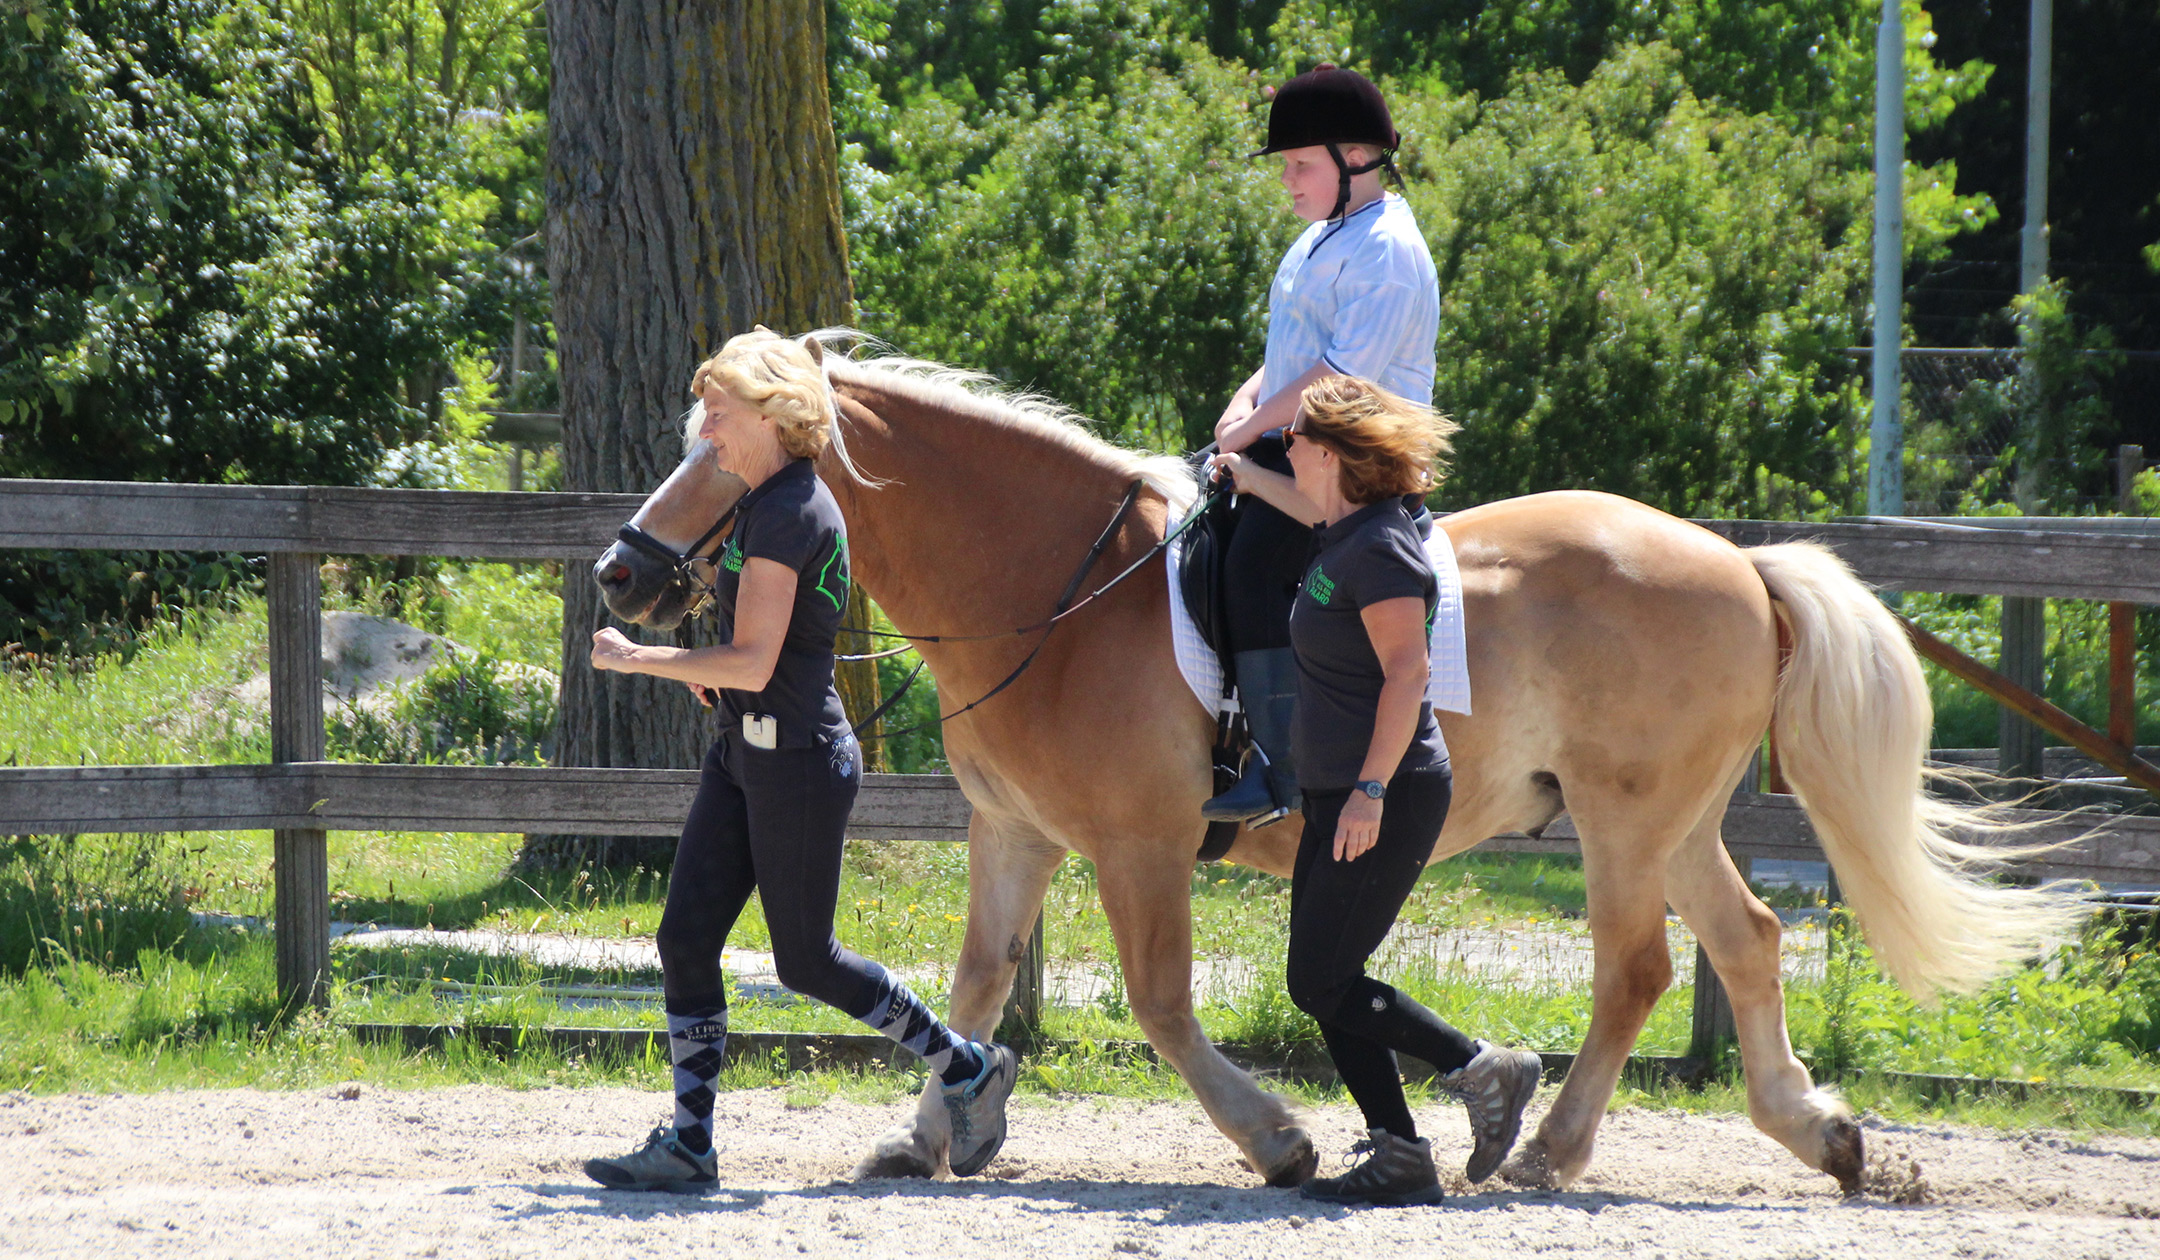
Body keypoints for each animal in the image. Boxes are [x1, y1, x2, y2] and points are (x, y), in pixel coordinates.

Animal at [591, 332, 2073, 1193]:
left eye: (718, 450)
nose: (620, 574)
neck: (1053, 589)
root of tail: (1737, 562)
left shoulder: (1139, 842)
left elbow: (1161, 1004)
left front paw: (1280, 1139)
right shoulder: (1014, 831)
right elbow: (976, 981)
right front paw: (936, 1128)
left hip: (1625, 821)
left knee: (1641, 968)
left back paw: (1547, 1145)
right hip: (1675, 818)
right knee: (1748, 943)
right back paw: (1811, 1134)